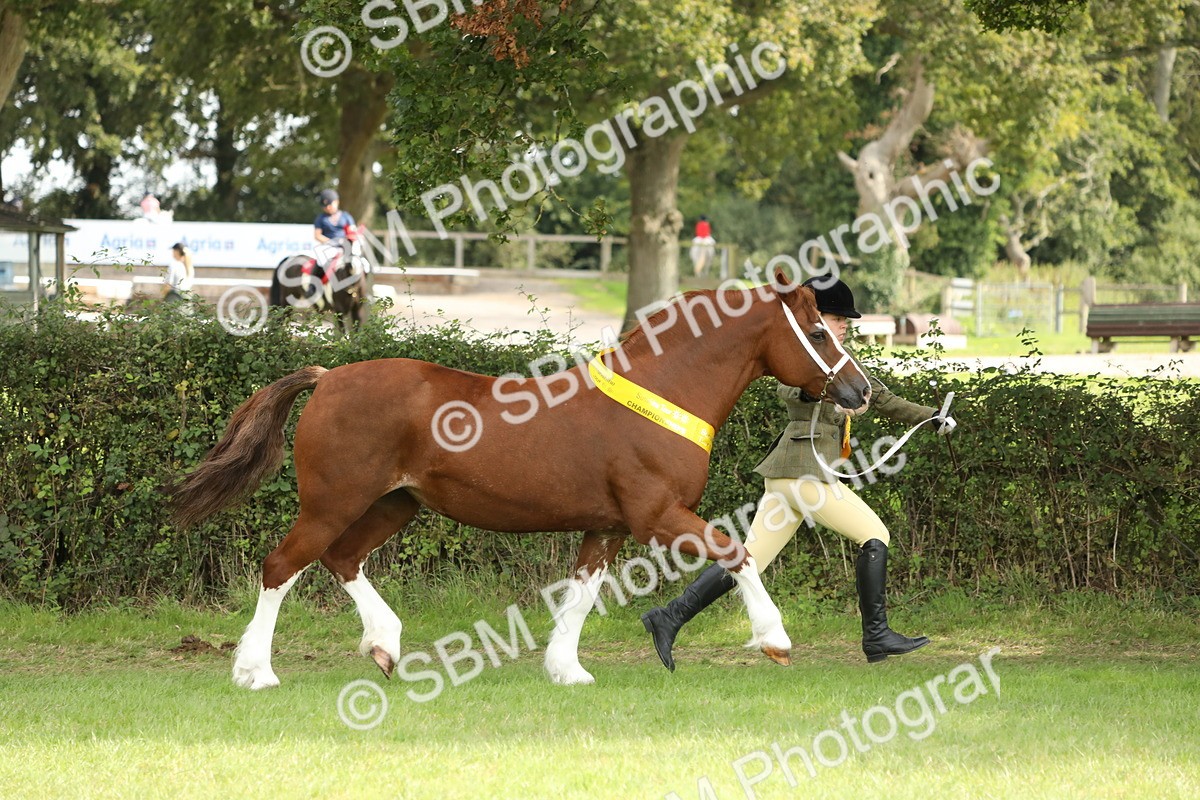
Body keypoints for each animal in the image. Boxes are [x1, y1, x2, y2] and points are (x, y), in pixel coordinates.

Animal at [171, 271, 872, 689]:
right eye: (816, 332)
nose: (860, 391)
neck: (660, 393)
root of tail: (326, 377)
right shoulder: (656, 516)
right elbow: (737, 553)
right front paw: (775, 639)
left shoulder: (607, 527)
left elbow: (583, 594)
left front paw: (567, 670)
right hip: (331, 502)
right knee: (281, 566)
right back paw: (256, 671)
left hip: (395, 504)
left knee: (342, 560)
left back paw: (385, 646)